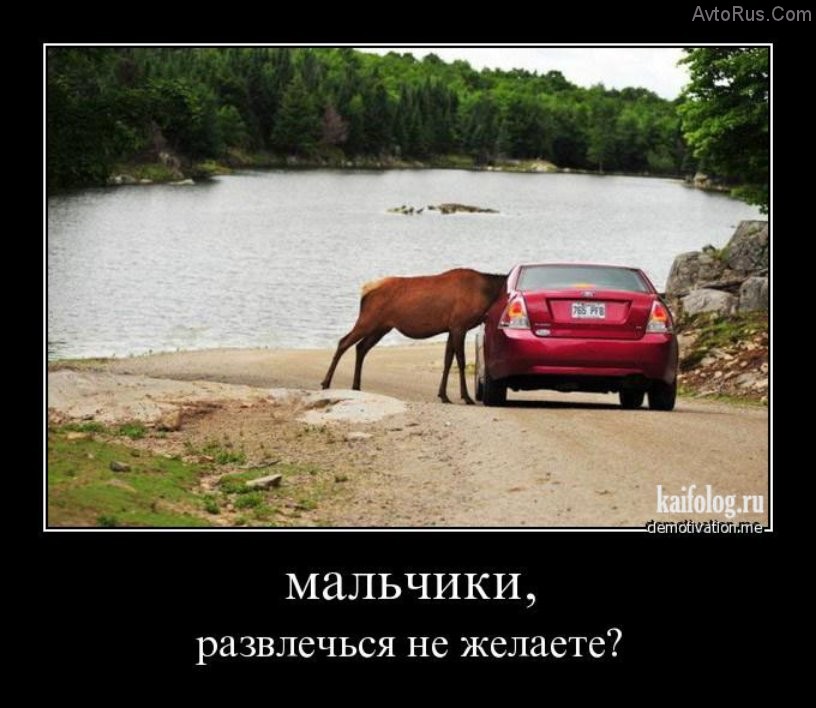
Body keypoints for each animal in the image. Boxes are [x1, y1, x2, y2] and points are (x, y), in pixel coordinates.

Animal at [321, 268, 507, 403]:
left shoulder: (451, 328)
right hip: (368, 320)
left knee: (361, 347)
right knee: (343, 342)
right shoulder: (459, 325)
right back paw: (326, 383)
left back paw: (356, 386)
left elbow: (447, 360)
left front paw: (443, 395)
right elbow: (460, 361)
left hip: (381, 327)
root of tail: (364, 291)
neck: (486, 295)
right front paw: (466, 397)